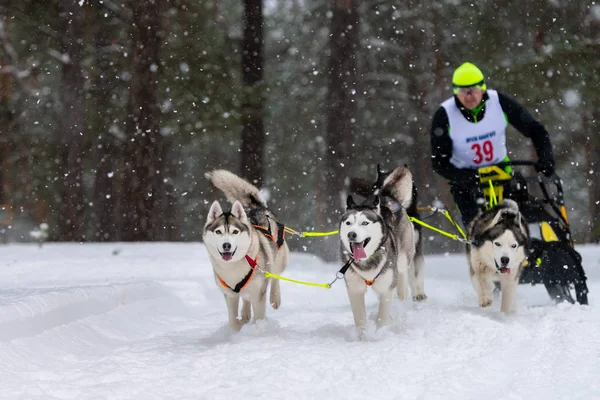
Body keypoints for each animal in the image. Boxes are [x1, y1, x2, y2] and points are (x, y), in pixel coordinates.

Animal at [203, 170, 290, 332]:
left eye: (235, 232)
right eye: (218, 232)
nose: (226, 245)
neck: (233, 267)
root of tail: (256, 208)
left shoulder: (259, 293)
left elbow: (259, 318)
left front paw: (257, 330)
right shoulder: (230, 295)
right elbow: (232, 321)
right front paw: (237, 329)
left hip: (278, 258)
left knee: (275, 274)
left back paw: (275, 298)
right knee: (245, 298)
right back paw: (245, 313)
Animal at [340, 164, 424, 332]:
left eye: (365, 223)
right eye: (348, 223)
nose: (351, 234)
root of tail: (387, 197)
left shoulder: (387, 286)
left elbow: (382, 317)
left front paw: (380, 332)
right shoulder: (354, 288)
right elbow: (360, 320)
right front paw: (364, 334)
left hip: (405, 252)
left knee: (403, 270)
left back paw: (403, 290)